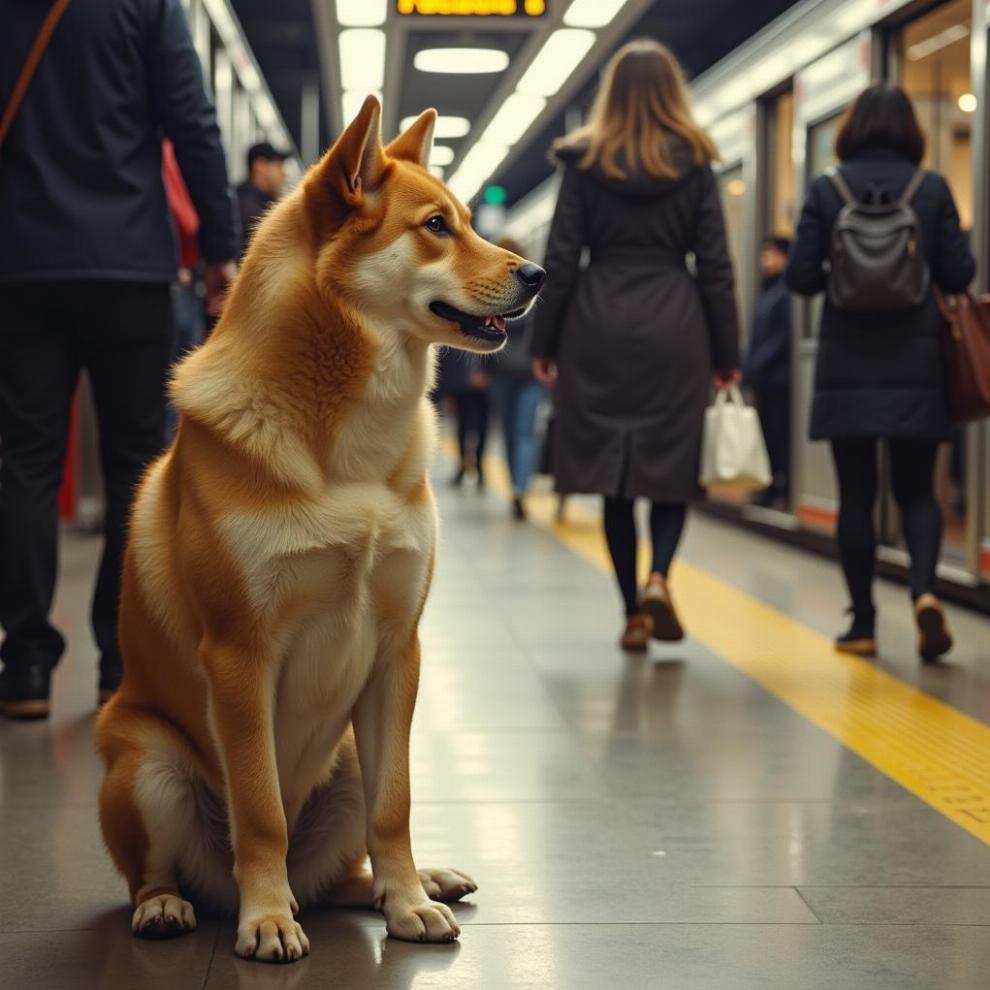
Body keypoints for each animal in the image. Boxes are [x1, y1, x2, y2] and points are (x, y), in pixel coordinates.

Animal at [95, 97, 544, 964]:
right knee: (161, 870)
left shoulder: (400, 649)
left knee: (349, 869)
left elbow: (396, 808)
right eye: (436, 226)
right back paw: (180, 905)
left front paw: (410, 903)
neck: (350, 454)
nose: (539, 273)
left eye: (472, 222)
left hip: (346, 760)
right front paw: (268, 920)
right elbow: (260, 811)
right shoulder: (240, 657)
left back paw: (415, 883)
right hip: (148, 764)